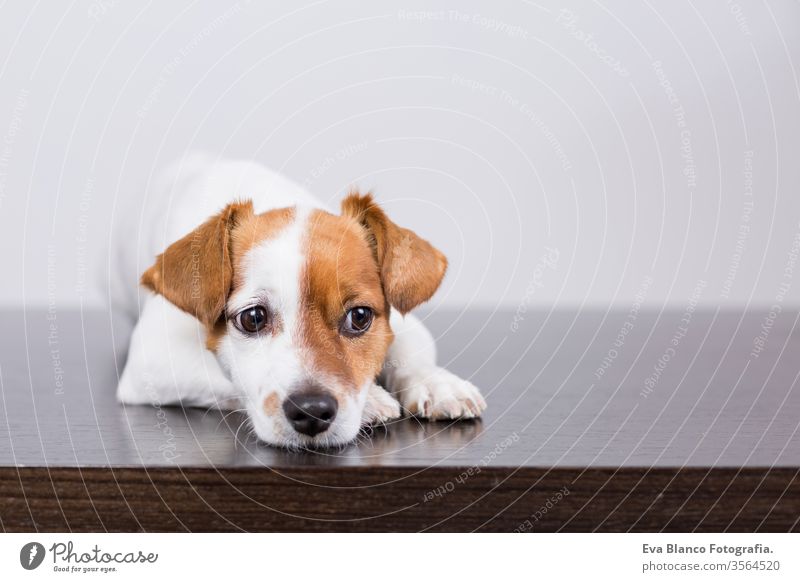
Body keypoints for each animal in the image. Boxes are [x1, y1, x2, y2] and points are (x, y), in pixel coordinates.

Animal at [111, 153, 488, 450]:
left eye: (360, 316)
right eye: (252, 318)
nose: (312, 412)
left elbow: (409, 349)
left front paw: (436, 382)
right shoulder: (154, 358)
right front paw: (370, 401)